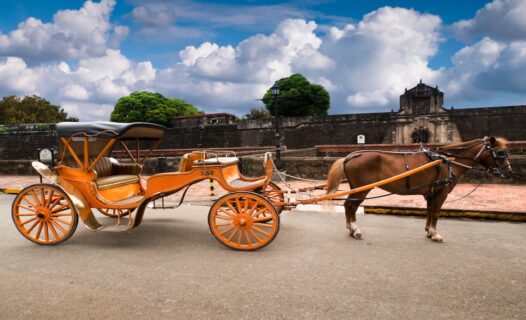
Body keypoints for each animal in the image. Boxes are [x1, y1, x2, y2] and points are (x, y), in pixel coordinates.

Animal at [328, 136, 512, 242]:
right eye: (500, 152)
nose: (509, 171)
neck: (448, 161)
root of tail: (349, 156)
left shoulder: (431, 193)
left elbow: (429, 212)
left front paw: (429, 231)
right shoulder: (441, 192)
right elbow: (436, 213)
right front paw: (435, 234)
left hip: (355, 188)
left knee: (348, 206)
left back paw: (351, 229)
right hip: (362, 189)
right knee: (351, 206)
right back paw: (355, 230)